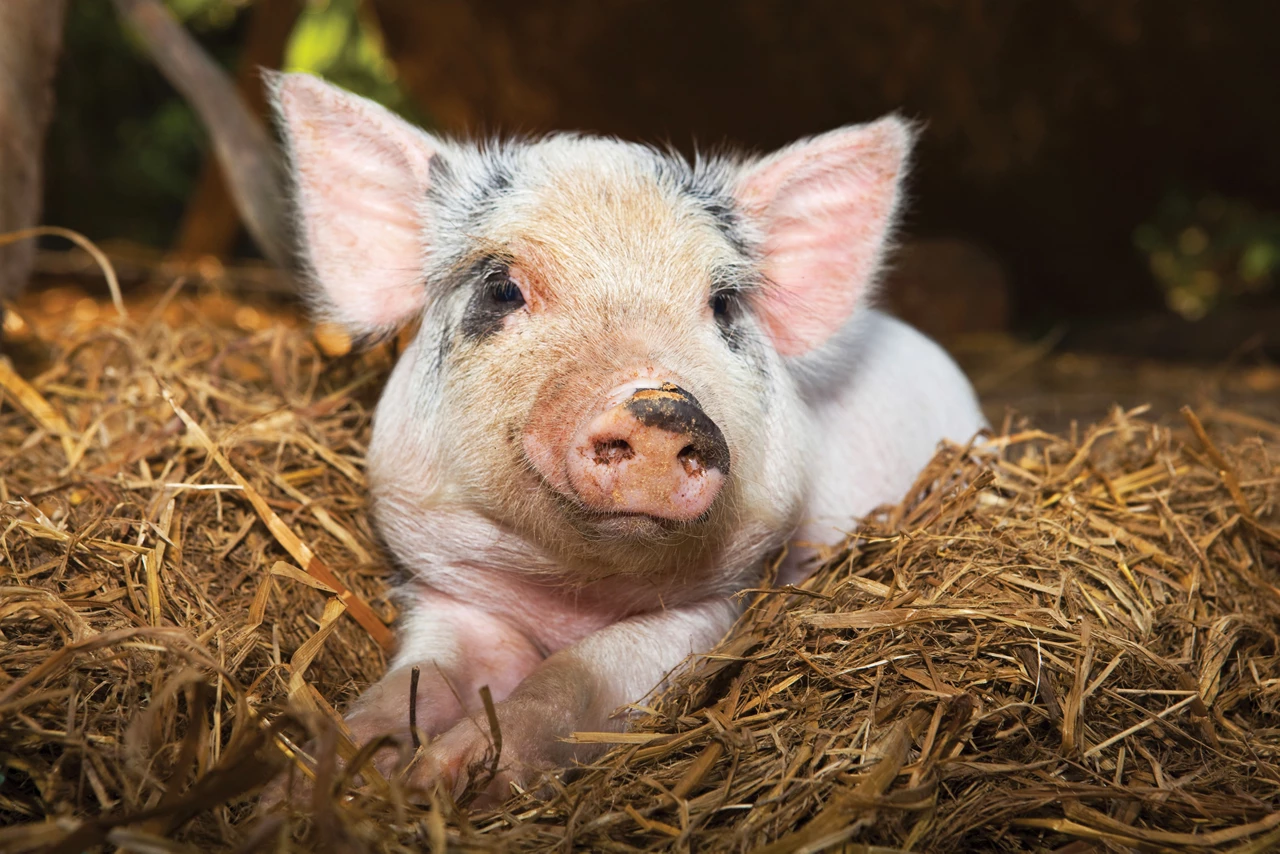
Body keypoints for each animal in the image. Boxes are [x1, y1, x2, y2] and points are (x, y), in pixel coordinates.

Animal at [271, 72, 987, 804]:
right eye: (501, 289)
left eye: (724, 304)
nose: (663, 406)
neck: (571, 592)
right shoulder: (450, 595)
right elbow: (417, 682)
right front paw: (312, 781)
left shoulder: (713, 612)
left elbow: (579, 675)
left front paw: (455, 773)